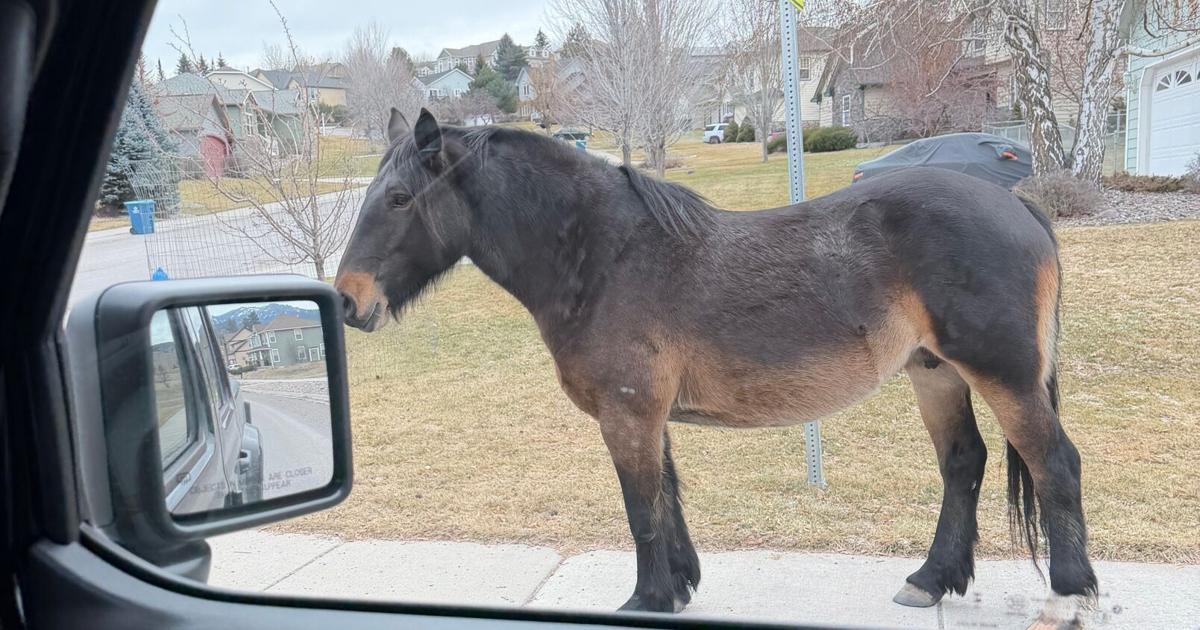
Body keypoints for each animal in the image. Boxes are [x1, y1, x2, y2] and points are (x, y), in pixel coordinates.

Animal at [335, 108, 1097, 629]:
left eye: (399, 198)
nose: (347, 300)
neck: (604, 255)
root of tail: (1015, 204)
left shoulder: (628, 411)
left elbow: (641, 508)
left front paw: (646, 599)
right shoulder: (646, 414)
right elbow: (667, 499)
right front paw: (676, 589)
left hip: (1003, 376)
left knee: (1054, 462)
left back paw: (1068, 592)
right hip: (935, 372)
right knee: (963, 463)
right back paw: (932, 578)